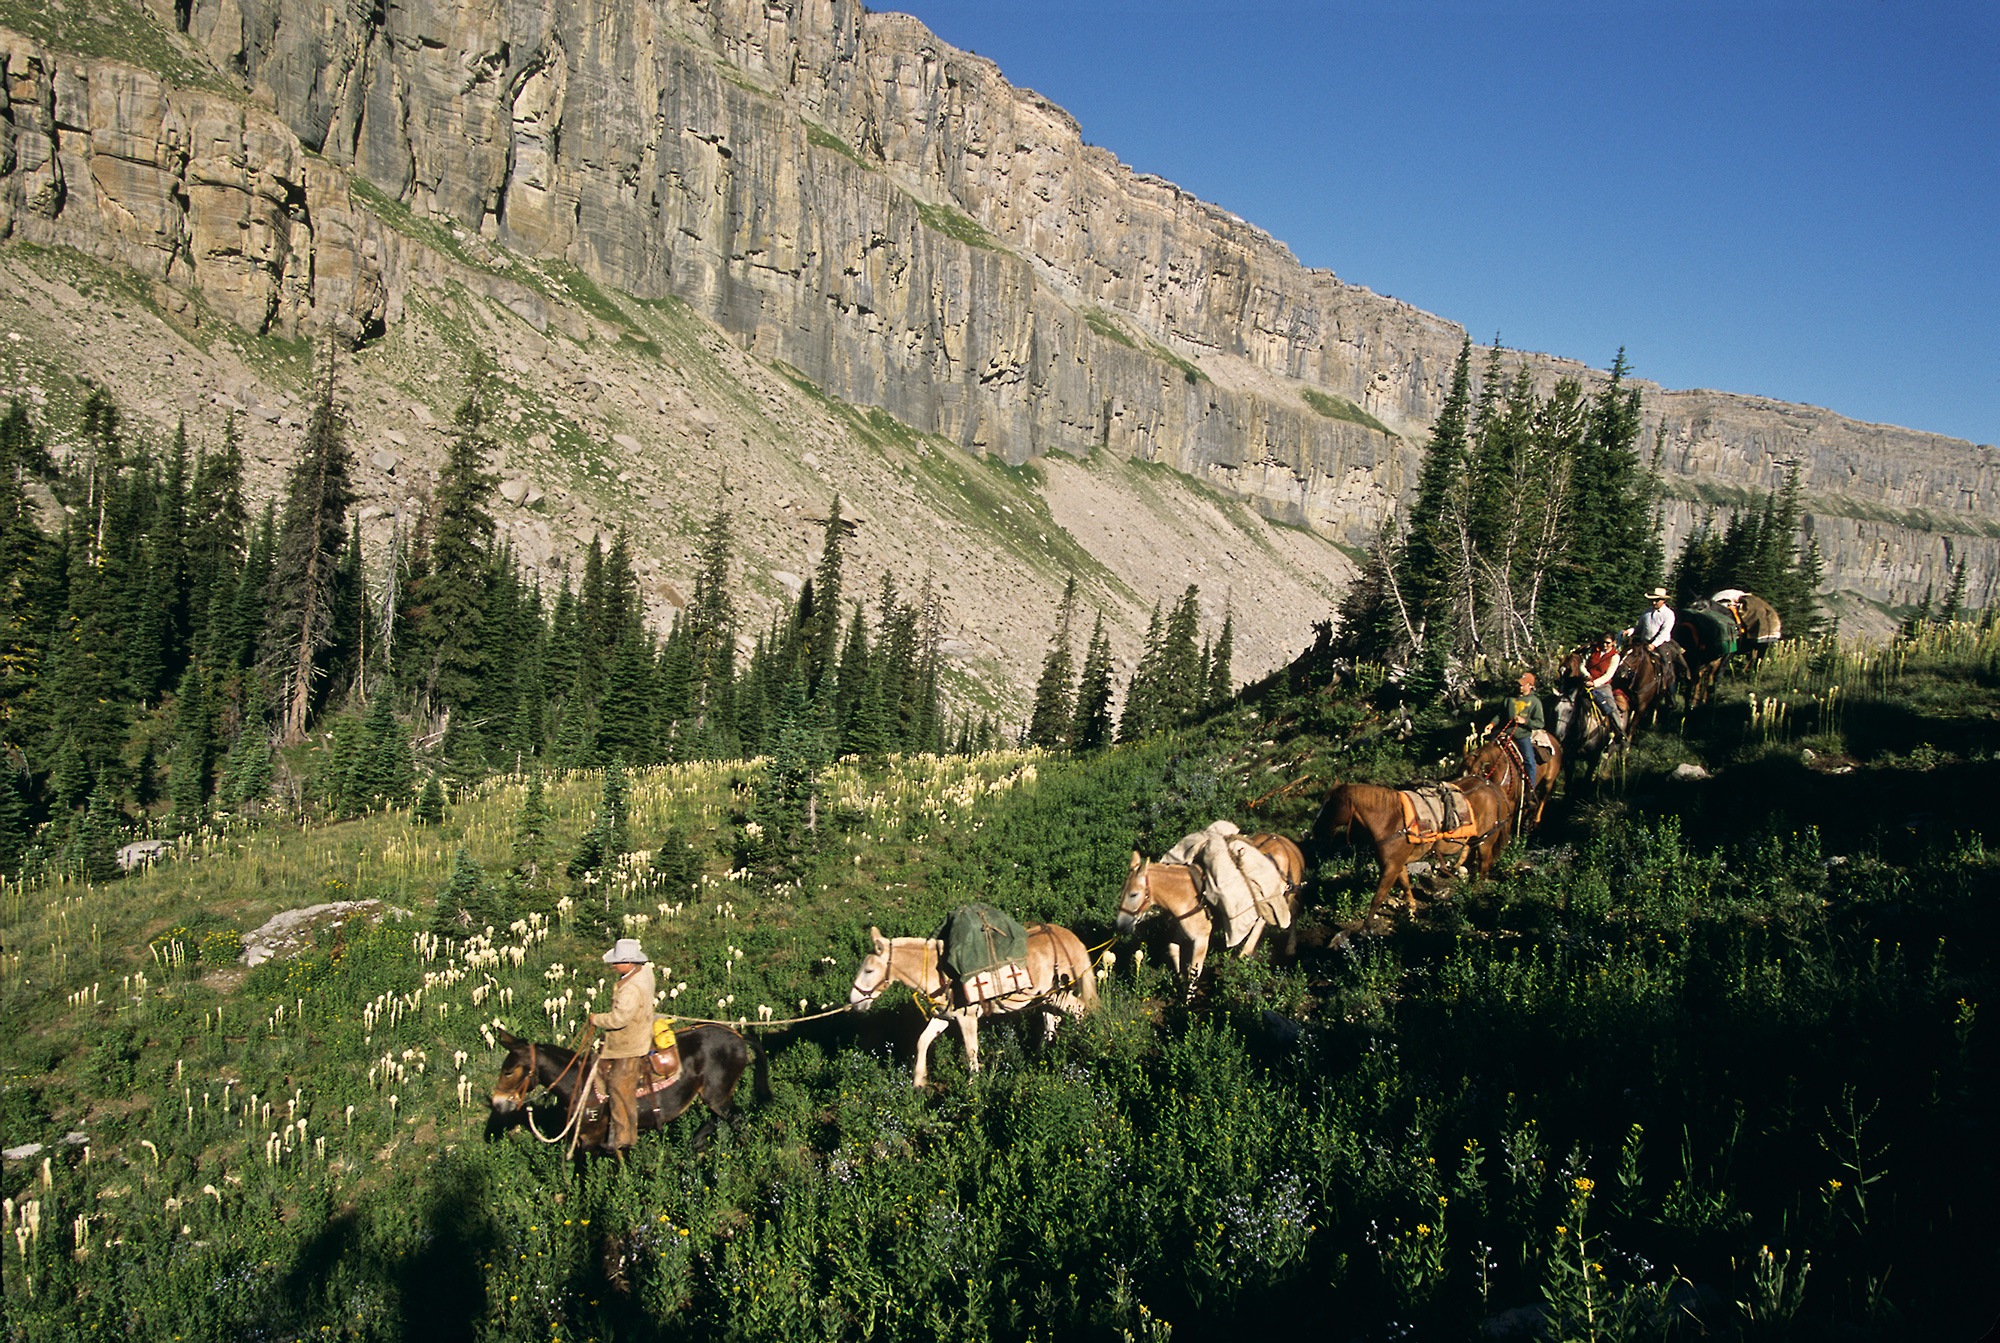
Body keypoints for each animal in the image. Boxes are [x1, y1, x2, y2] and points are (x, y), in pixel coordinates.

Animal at [490, 1023, 764, 1151]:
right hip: (714, 1095)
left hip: (717, 1095)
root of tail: (738, 1037)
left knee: (737, 1120)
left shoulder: (591, 1139)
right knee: (720, 1119)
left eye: (509, 1071)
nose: (497, 1103)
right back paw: (698, 1144)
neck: (581, 1084)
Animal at [840, 923, 1096, 1087]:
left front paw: (974, 1087)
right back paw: (1040, 1055)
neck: (940, 972)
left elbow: (971, 1050)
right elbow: (922, 1041)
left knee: (1080, 1010)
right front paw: (919, 1082)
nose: (853, 1002)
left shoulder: (967, 1018)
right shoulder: (943, 1017)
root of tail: (1066, 936)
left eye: (869, 970)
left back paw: (1076, 1049)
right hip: (1044, 997)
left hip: (1056, 994)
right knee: (1051, 1021)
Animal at [1304, 771, 1504, 919]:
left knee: (1484, 866)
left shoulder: (1391, 866)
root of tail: (1490, 786)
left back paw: (1473, 892)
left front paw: (1364, 930)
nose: (1315, 830)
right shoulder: (1397, 864)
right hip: (1474, 840)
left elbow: (1378, 897)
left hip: (1486, 839)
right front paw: (1411, 910)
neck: (1390, 820)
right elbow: (1406, 885)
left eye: (1332, 805)